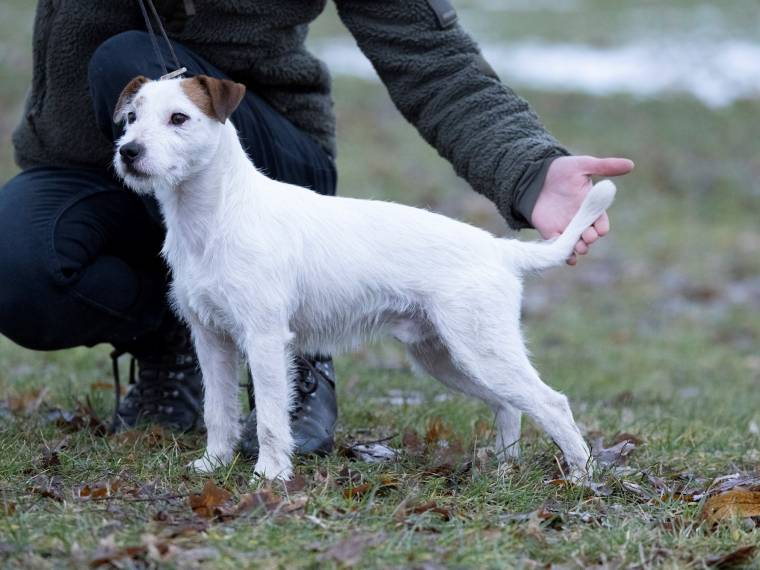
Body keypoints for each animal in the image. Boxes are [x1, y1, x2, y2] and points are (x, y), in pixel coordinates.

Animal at [114, 72, 616, 480]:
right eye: (131, 117)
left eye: (179, 118)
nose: (128, 151)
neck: (215, 215)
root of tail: (501, 250)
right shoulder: (211, 338)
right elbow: (218, 410)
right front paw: (213, 464)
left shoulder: (264, 338)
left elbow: (273, 417)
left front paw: (270, 475)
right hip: (445, 356)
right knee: (509, 404)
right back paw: (504, 467)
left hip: (481, 349)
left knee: (551, 403)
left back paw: (582, 477)